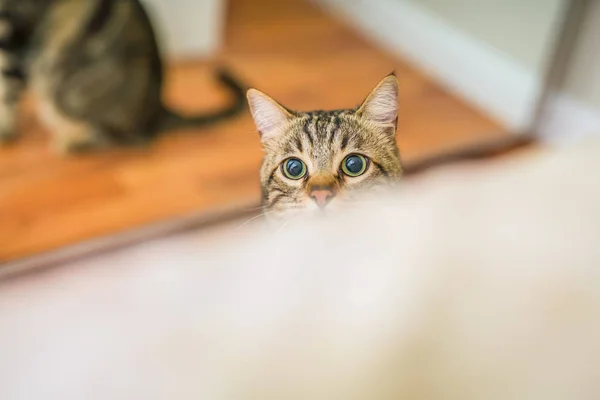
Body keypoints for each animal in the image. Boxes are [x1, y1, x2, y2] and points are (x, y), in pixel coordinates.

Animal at [0, 0, 246, 153]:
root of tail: (158, 110)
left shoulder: (16, 32)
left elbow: (6, 86)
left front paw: (5, 130)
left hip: (65, 90)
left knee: (125, 138)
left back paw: (73, 142)